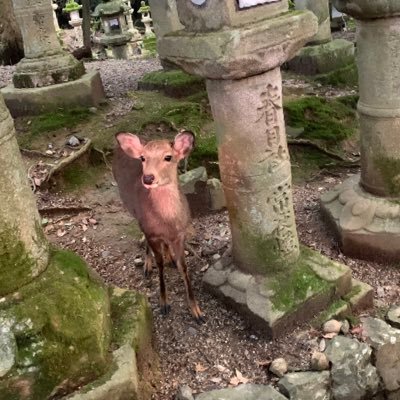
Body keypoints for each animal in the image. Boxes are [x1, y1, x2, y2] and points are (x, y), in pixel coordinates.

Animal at [113, 130, 205, 324]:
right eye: (143, 158)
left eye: (168, 157)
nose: (148, 178)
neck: (167, 222)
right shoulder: (151, 232)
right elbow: (160, 263)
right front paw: (164, 304)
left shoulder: (180, 234)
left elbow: (183, 266)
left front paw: (197, 311)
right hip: (131, 208)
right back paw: (147, 266)